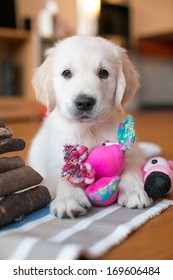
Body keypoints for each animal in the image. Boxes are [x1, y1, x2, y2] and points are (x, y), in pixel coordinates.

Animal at [28, 35, 154, 219]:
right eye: (66, 73)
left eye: (103, 73)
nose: (84, 102)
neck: (90, 129)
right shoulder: (56, 155)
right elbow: (64, 174)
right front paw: (69, 198)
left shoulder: (131, 152)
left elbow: (130, 167)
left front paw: (133, 191)